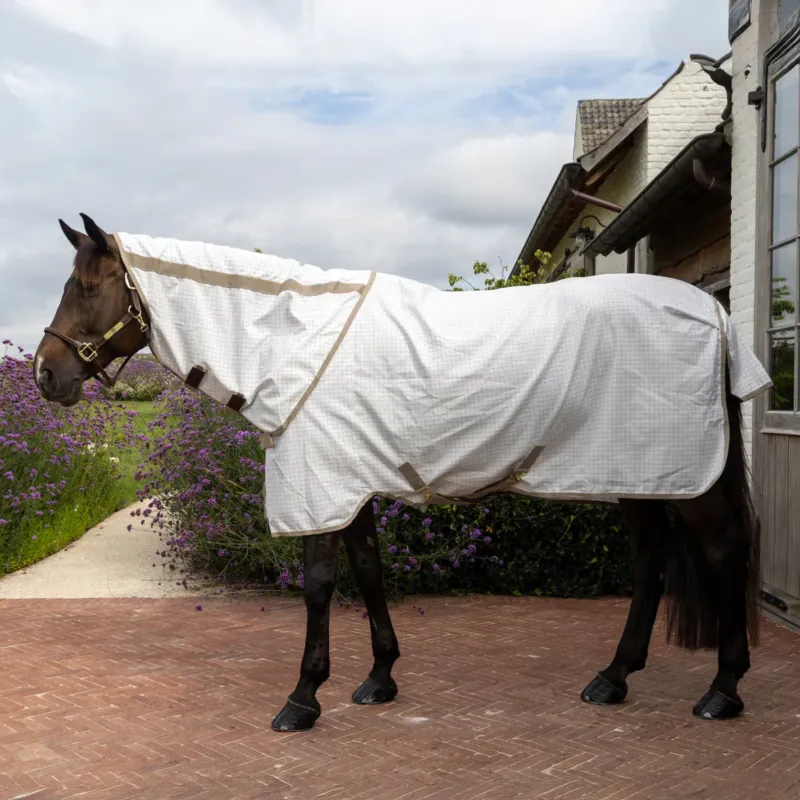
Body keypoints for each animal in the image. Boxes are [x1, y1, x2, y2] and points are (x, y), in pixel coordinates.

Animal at [34, 213, 767, 732]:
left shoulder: (320, 484)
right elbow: (369, 573)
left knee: (723, 552)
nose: (47, 374)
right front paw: (379, 679)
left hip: (686, 480)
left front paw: (303, 699)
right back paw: (613, 679)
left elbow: (320, 587)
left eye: (89, 287)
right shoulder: (346, 484)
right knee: (650, 564)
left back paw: (723, 690)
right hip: (639, 474)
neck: (290, 340)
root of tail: (716, 313)